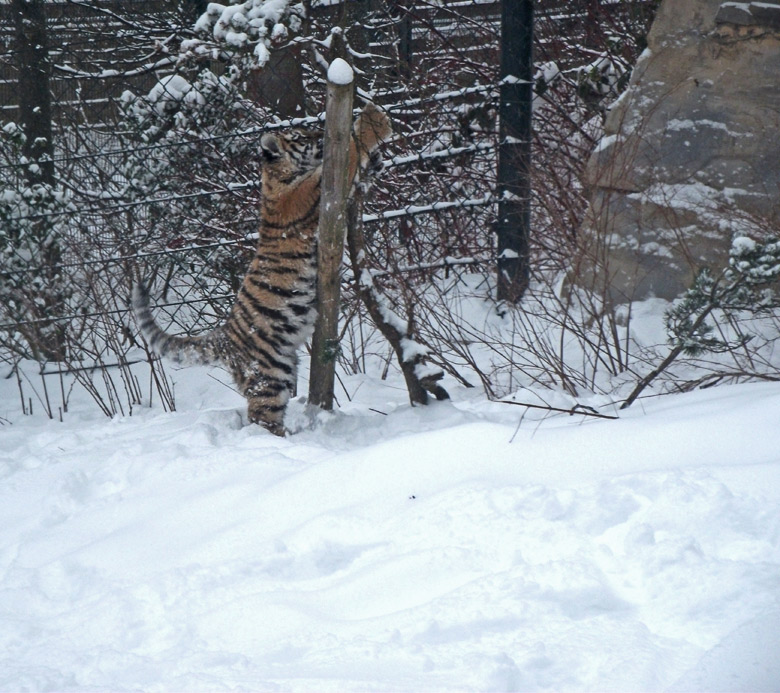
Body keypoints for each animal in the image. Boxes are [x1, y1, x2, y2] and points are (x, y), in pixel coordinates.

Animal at [134, 100, 394, 436]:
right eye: (302, 137)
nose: (321, 132)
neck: (277, 176)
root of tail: (224, 337)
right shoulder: (318, 190)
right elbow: (351, 147)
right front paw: (374, 119)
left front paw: (376, 158)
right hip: (270, 375)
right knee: (262, 417)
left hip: (282, 369)